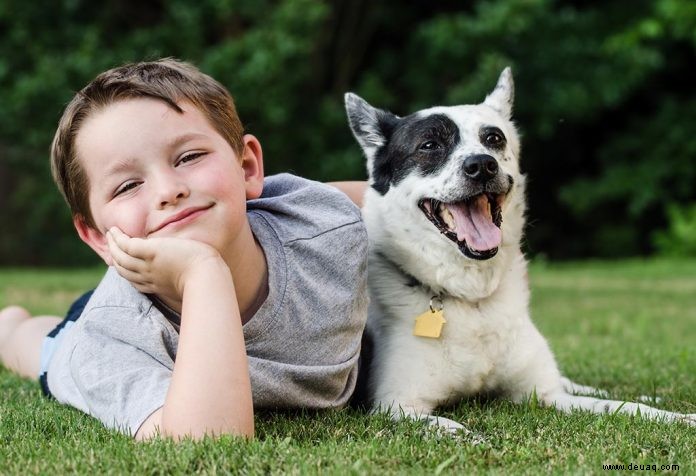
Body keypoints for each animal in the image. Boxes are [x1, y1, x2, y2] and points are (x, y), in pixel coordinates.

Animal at [344, 68, 696, 436]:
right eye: (429, 145)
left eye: (494, 139)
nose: (482, 166)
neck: (473, 300)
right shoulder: (396, 405)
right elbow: (451, 429)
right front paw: (473, 440)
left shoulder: (546, 394)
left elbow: (624, 407)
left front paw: (674, 415)